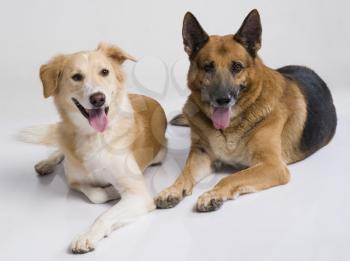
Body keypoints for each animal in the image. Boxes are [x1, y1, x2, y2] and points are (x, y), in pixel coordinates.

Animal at [21, 43, 167, 253]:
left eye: (104, 72)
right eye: (76, 77)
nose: (98, 98)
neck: (94, 136)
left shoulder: (138, 194)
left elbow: (104, 214)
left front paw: (87, 236)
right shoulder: (74, 180)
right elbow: (96, 195)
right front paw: (110, 191)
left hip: (160, 155)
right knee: (60, 147)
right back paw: (46, 163)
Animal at [155, 9, 336, 211]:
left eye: (237, 67)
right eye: (208, 67)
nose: (222, 100)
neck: (230, 127)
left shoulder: (273, 166)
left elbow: (231, 177)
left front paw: (213, 193)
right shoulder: (201, 153)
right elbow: (184, 173)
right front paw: (172, 189)